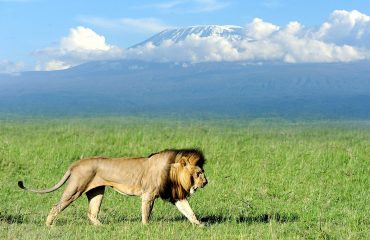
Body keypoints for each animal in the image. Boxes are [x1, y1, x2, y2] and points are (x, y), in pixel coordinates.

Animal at [18, 149, 208, 226]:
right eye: (199, 173)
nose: (206, 182)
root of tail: (75, 164)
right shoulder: (148, 194)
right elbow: (146, 213)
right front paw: (146, 227)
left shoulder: (175, 195)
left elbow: (189, 211)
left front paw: (200, 225)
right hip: (75, 189)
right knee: (56, 205)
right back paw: (49, 225)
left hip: (96, 191)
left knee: (92, 212)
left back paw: (101, 227)